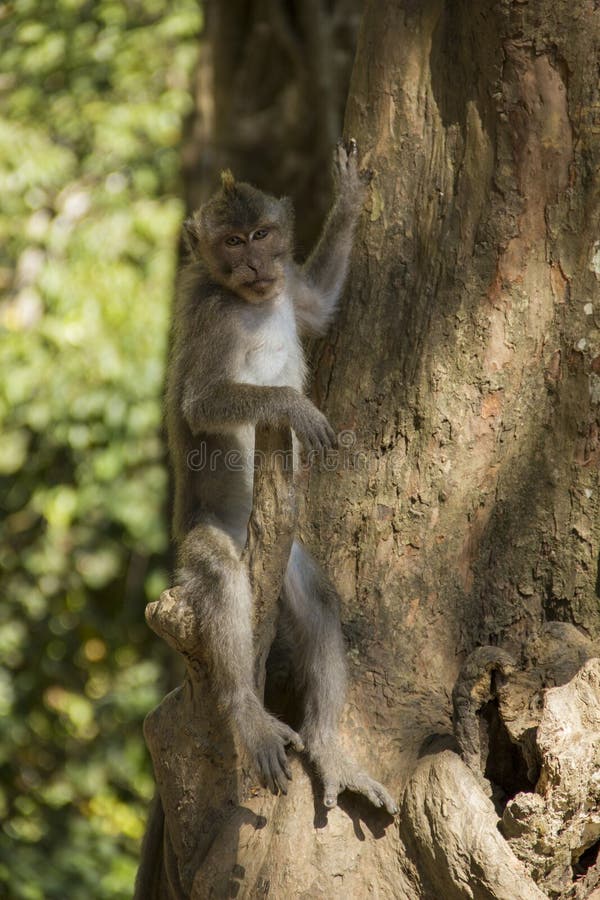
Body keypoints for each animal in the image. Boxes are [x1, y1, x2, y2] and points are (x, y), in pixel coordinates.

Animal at [164, 139, 397, 813]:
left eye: (263, 234)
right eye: (231, 241)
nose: (253, 263)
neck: (253, 300)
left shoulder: (287, 285)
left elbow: (317, 305)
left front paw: (349, 199)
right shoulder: (213, 314)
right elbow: (201, 403)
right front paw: (293, 408)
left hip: (280, 548)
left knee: (317, 602)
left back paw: (325, 745)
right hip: (213, 538)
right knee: (218, 573)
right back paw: (247, 713)